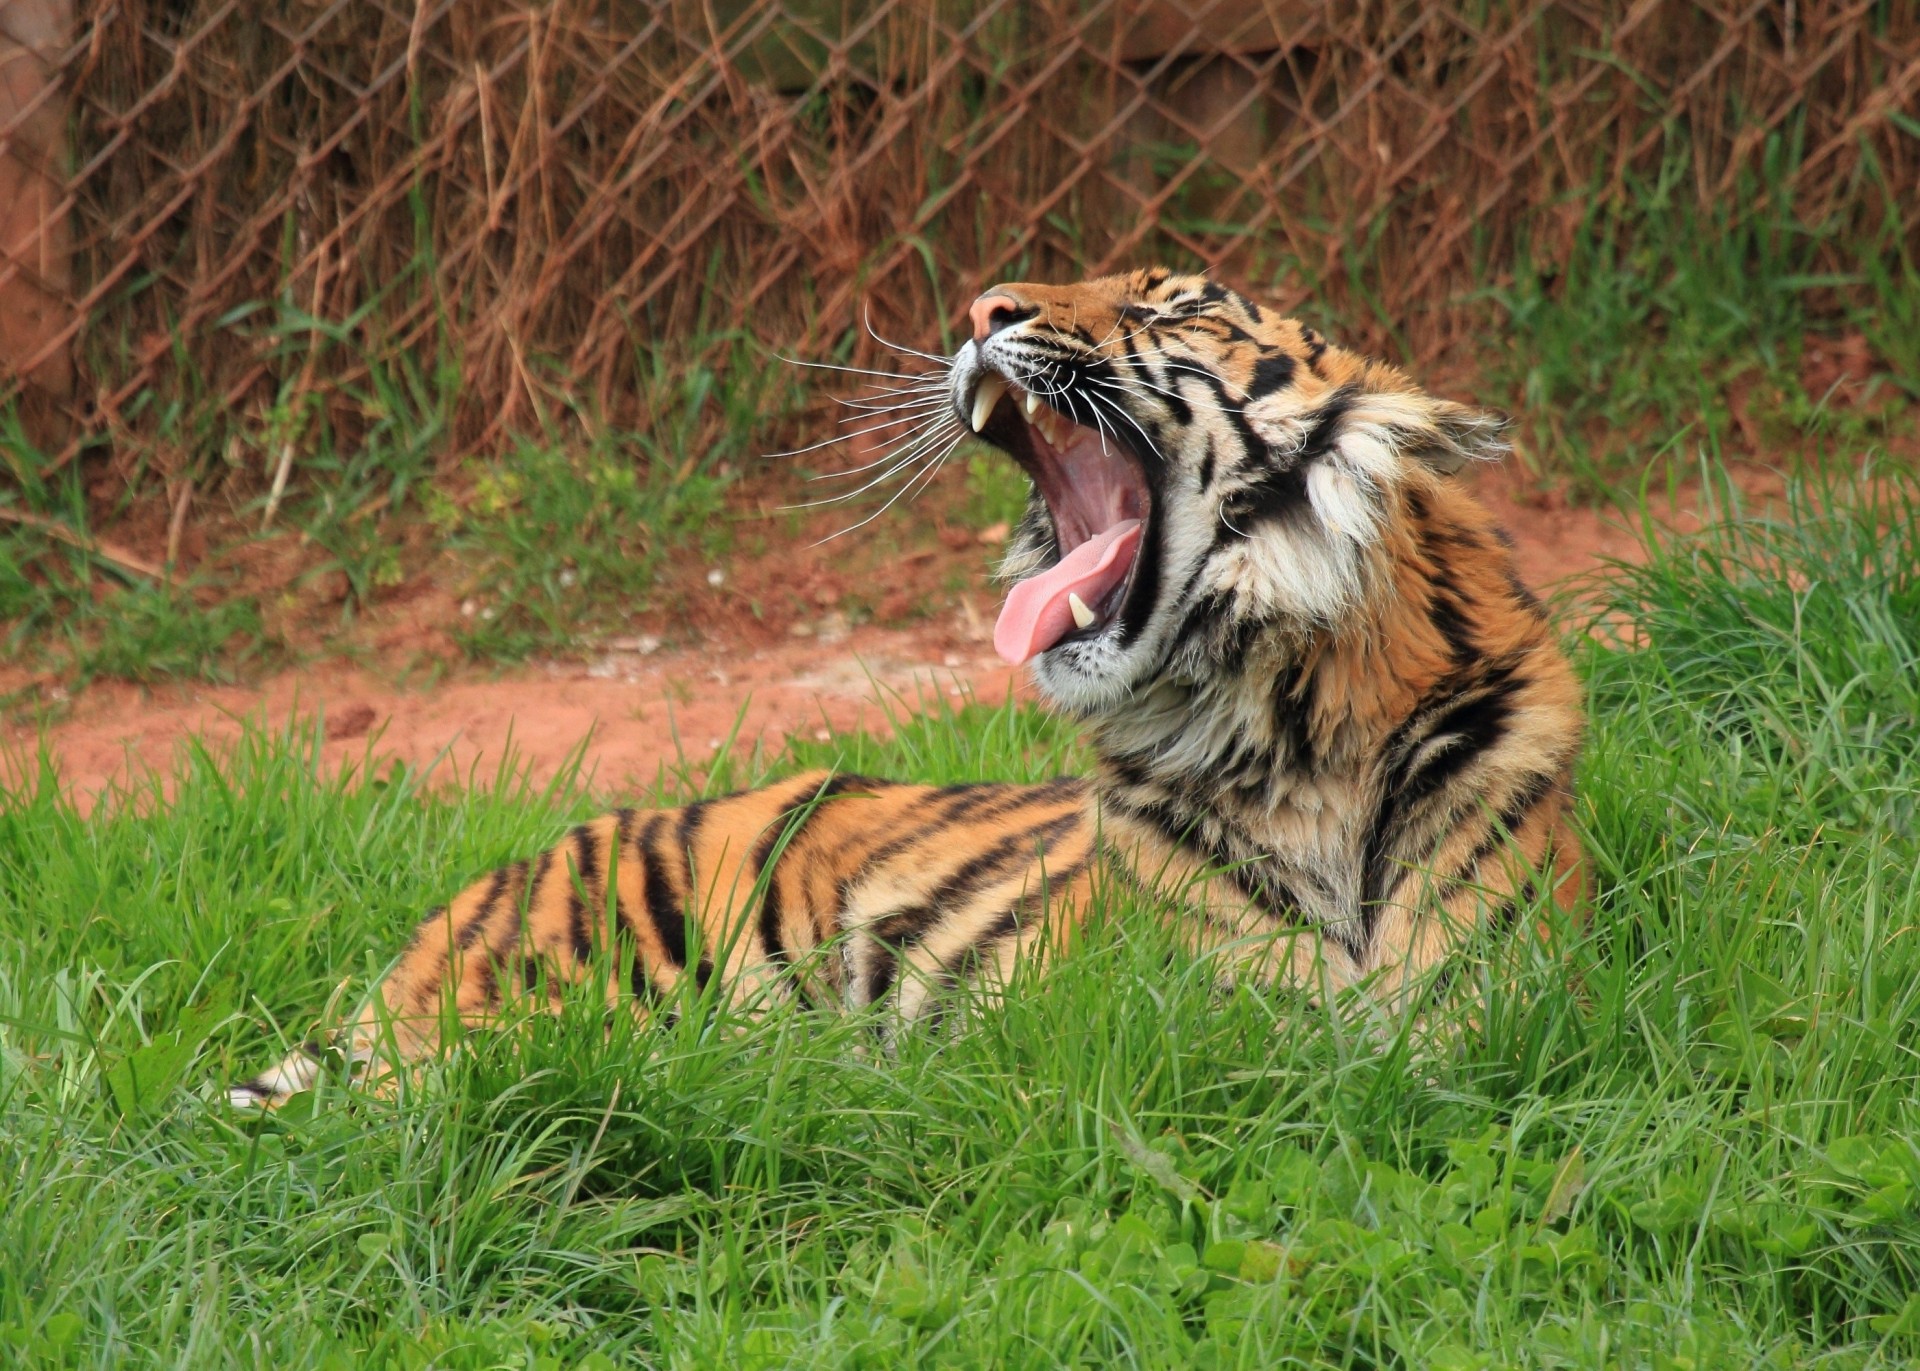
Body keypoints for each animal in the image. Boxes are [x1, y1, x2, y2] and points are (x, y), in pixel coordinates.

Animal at [228, 269, 1585, 1107]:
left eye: (1173, 304)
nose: (985, 303)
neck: (1293, 724)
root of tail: (459, 910)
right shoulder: (1211, 1024)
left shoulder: (1491, 1004)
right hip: (564, 1013)